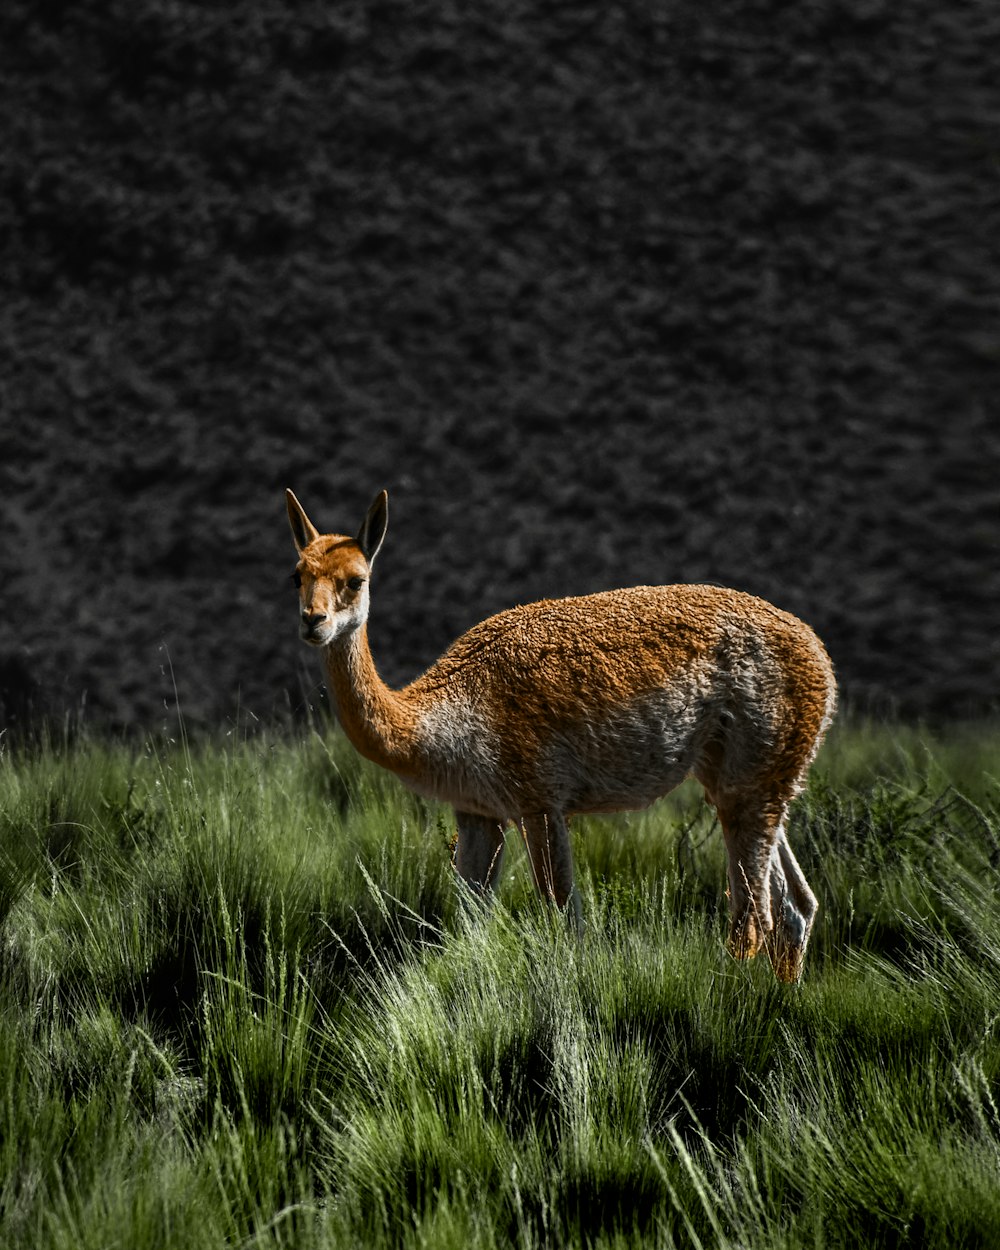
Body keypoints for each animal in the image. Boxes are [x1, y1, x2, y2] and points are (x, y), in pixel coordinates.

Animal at [283, 482, 835, 980]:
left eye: (355, 579)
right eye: (297, 576)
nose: (313, 621)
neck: (441, 713)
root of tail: (819, 653)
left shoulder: (540, 800)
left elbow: (566, 920)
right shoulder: (479, 811)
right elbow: (470, 923)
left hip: (754, 769)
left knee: (752, 921)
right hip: (754, 776)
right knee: (796, 906)